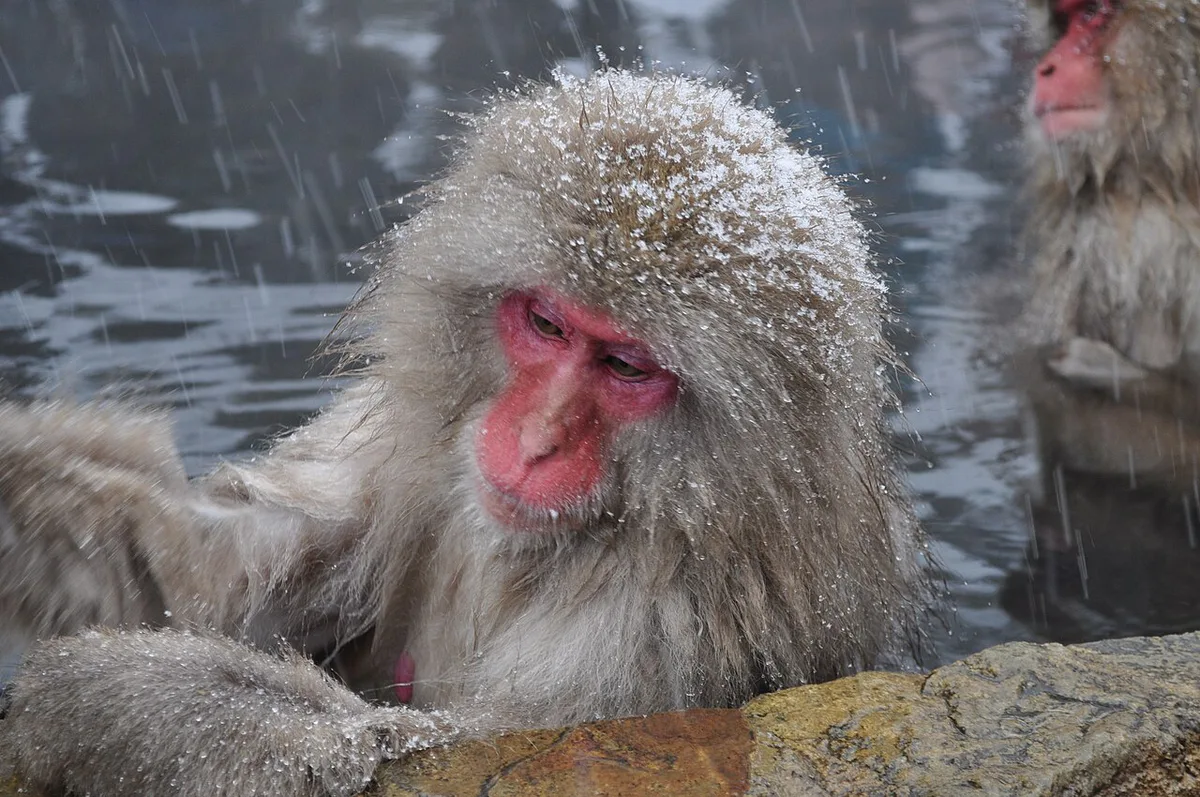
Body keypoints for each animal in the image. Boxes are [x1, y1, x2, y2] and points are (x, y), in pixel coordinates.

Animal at [0, 70, 927, 797]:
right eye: (547, 324)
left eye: (627, 366)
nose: (537, 438)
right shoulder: (411, 456)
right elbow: (204, 571)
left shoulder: (666, 637)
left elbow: (445, 753)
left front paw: (99, 693)